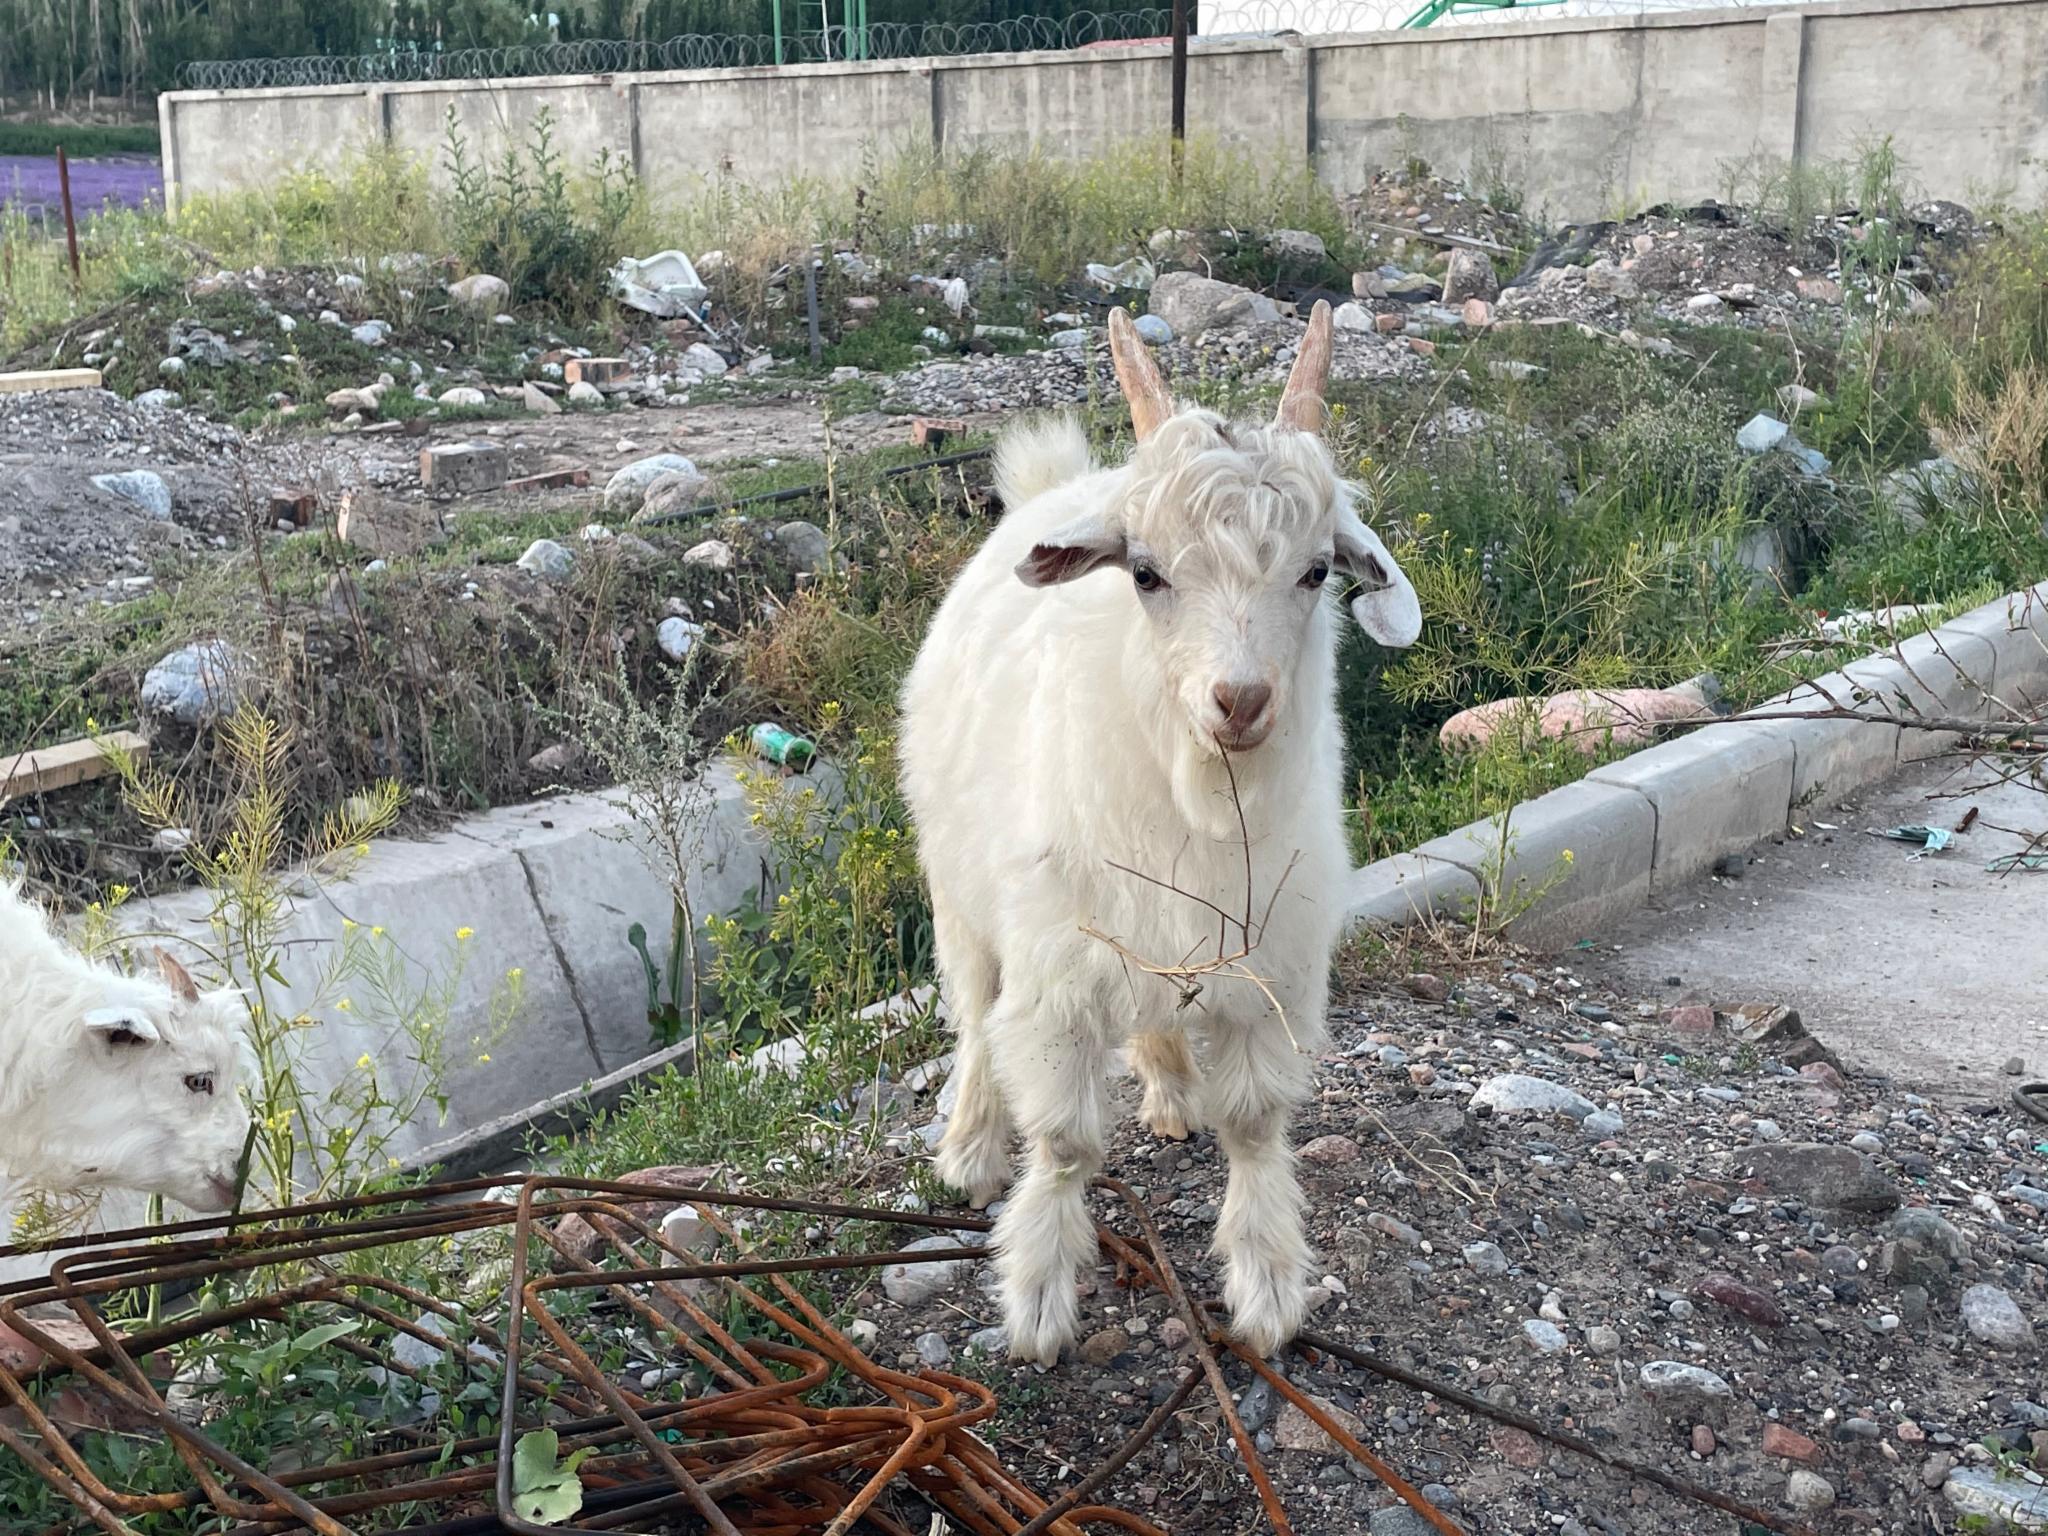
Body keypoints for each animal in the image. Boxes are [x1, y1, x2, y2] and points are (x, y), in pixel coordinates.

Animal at [899, 301, 1421, 1364]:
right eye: (1144, 573)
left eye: (1315, 571)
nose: (1240, 700)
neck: (1200, 799)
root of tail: (1053, 490)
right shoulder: (1055, 974)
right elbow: (1064, 1141)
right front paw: (1039, 1296)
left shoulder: (1269, 969)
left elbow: (1255, 1124)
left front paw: (1268, 1286)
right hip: (958, 889)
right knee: (971, 1016)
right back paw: (970, 1149)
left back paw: (1173, 1091)